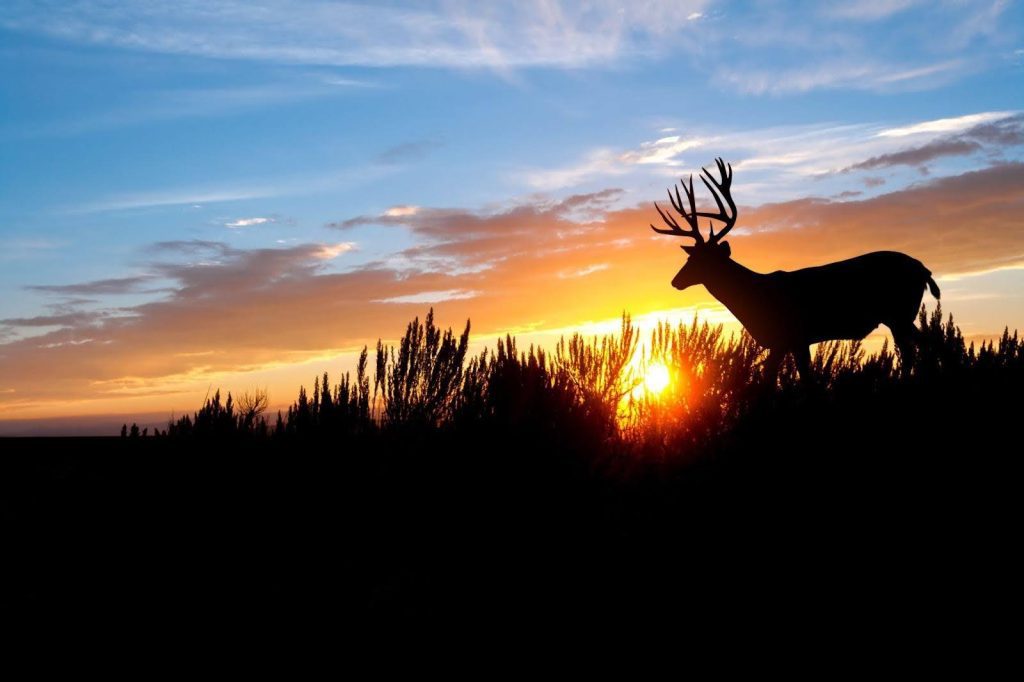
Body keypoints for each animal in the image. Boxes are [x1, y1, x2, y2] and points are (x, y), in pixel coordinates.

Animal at [650, 158, 941, 381]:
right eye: (691, 257)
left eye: (702, 261)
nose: (676, 281)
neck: (755, 299)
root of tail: (923, 269)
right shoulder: (788, 343)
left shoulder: (793, 337)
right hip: (901, 316)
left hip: (899, 312)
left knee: (918, 350)